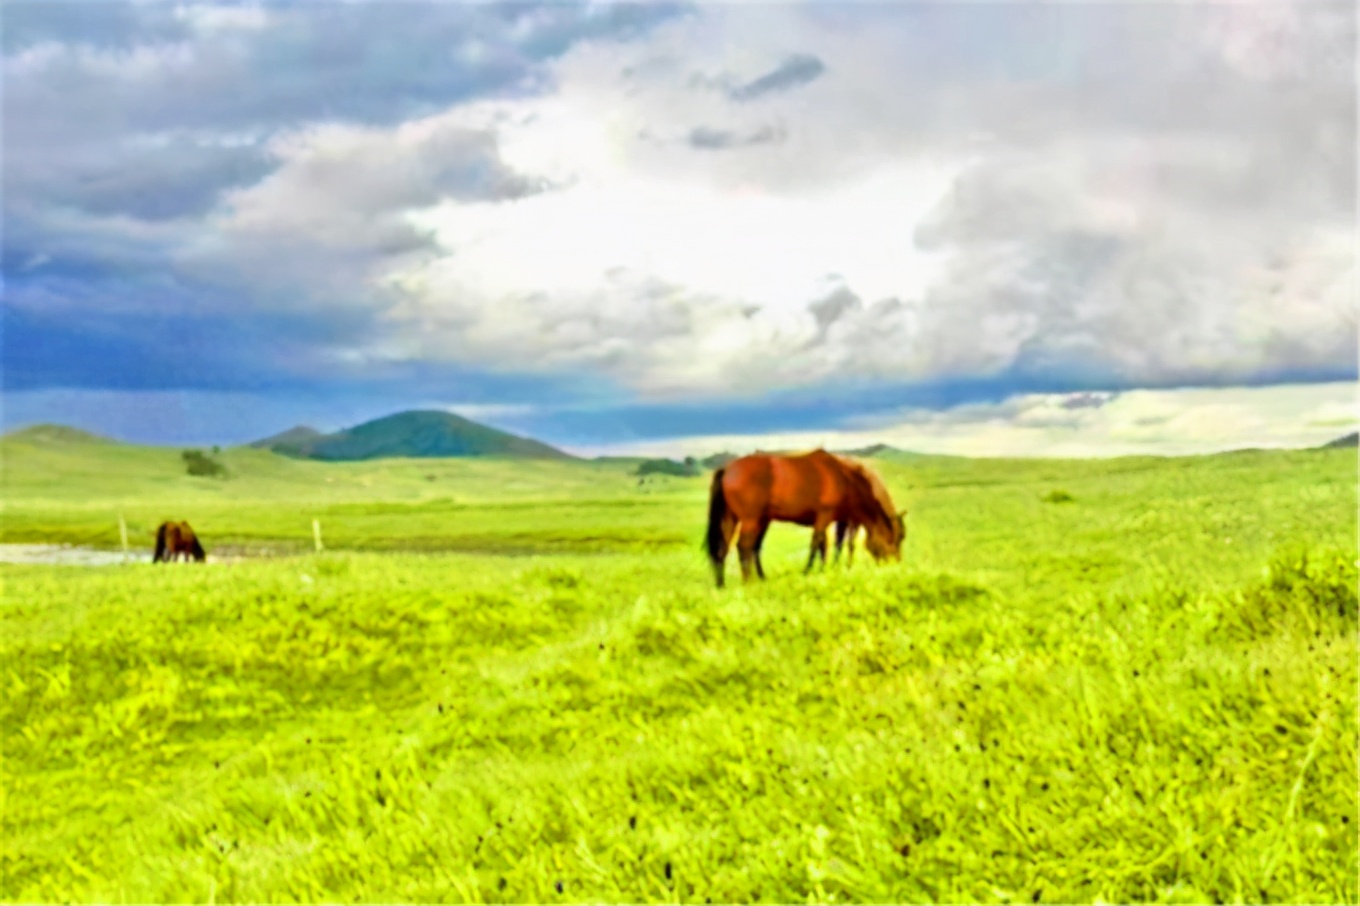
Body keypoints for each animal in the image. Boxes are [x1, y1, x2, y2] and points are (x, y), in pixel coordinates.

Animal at [707, 448, 908, 590]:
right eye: (895, 538)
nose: (896, 565)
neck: (844, 479)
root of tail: (728, 468)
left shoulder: (833, 520)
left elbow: (827, 545)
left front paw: (825, 570)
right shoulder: (825, 516)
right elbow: (818, 544)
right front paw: (810, 571)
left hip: (734, 518)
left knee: (725, 547)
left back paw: (722, 584)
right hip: (751, 520)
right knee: (744, 546)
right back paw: (749, 582)